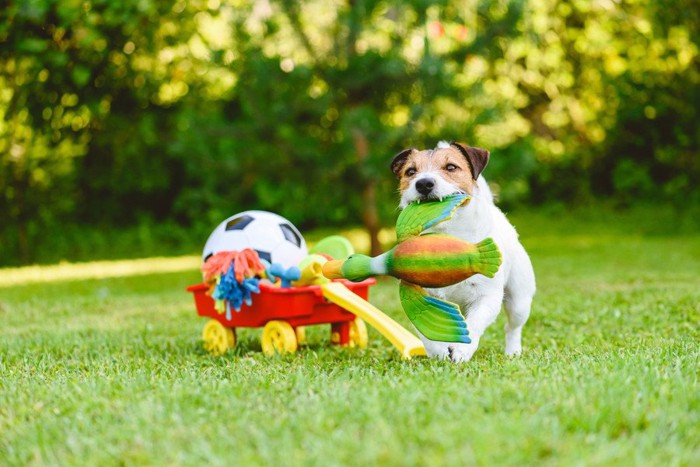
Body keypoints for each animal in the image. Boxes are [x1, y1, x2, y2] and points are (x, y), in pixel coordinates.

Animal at [388, 141, 536, 364]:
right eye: (411, 171)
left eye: (451, 167)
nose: (423, 183)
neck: (445, 237)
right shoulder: (415, 295)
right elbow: (425, 330)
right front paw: (438, 351)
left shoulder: (487, 296)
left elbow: (474, 324)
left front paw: (461, 350)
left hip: (519, 300)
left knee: (512, 328)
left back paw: (513, 351)